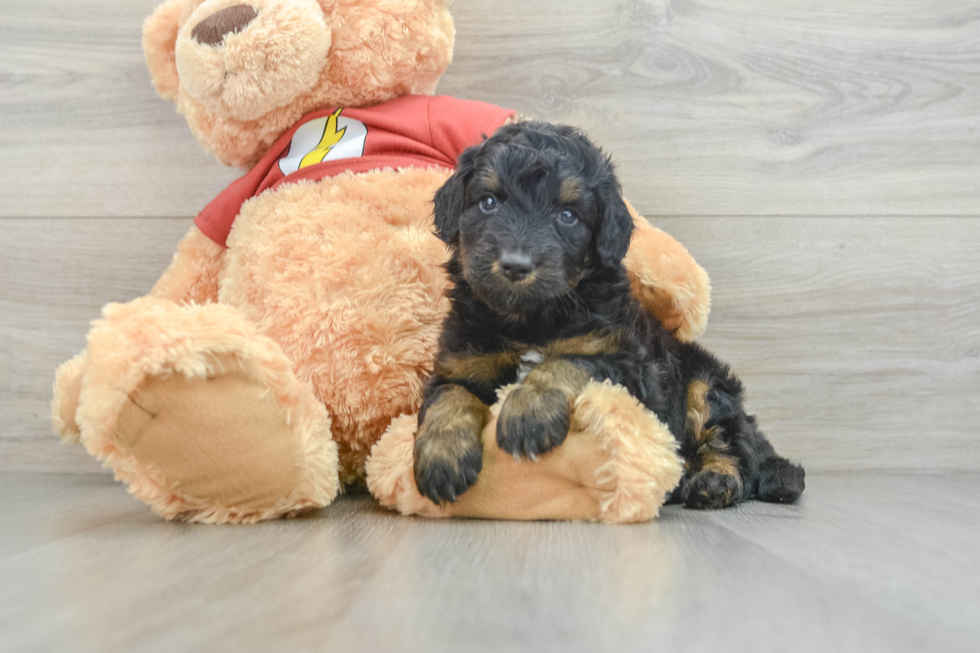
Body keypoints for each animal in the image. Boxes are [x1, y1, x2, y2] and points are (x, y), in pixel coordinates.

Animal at [414, 122, 804, 510]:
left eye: (567, 215)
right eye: (489, 202)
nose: (515, 265)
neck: (530, 320)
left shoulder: (625, 364)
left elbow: (567, 362)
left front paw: (528, 411)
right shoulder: (462, 361)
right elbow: (449, 396)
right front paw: (441, 457)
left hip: (704, 384)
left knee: (733, 447)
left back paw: (715, 481)